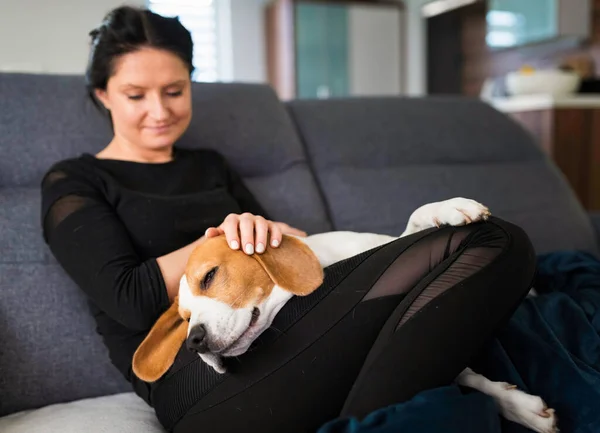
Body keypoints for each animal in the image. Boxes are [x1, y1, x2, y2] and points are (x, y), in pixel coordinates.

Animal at [135, 197, 556, 430]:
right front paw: (515, 404)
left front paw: (446, 209)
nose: (194, 342)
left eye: (209, 276)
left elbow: (414, 222)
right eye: (184, 319)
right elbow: (462, 372)